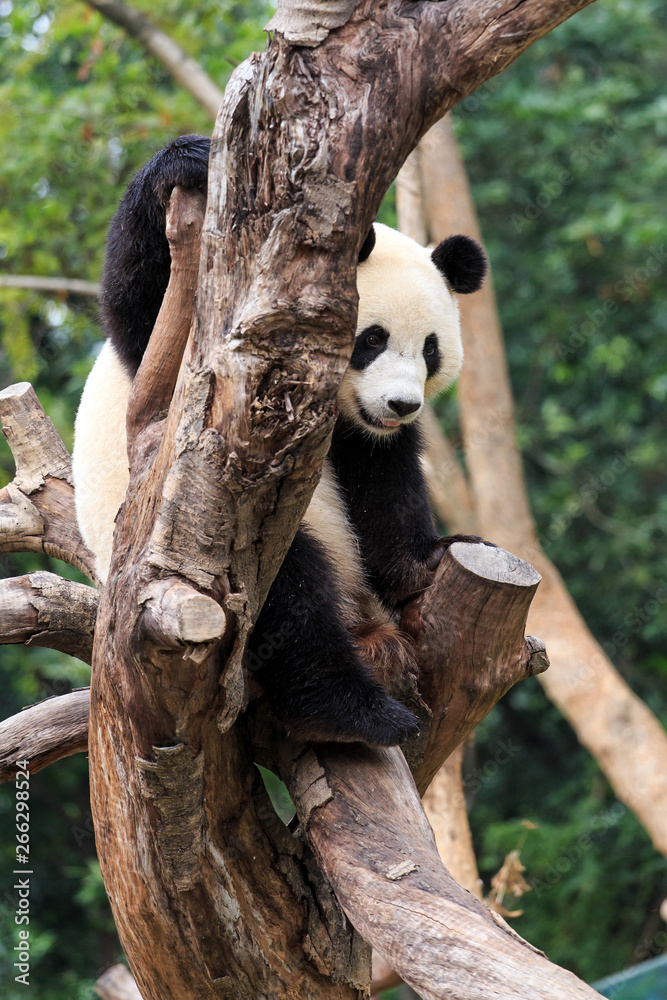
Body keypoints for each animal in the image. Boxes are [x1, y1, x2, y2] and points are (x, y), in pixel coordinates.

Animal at [72, 134, 486, 747]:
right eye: (372, 339)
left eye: (430, 348)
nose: (401, 405)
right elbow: (137, 304)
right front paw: (190, 161)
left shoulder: (361, 437)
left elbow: (384, 486)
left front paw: (430, 560)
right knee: (286, 596)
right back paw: (353, 711)